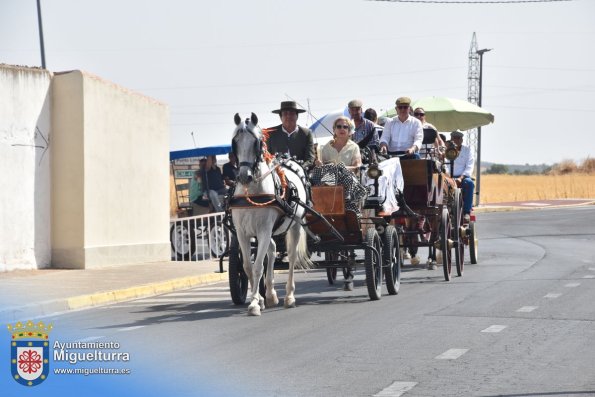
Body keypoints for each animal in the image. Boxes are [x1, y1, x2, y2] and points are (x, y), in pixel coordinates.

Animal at [229, 112, 314, 316]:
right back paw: (270, 294)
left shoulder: (264, 230)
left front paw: (253, 304)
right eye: (235, 142)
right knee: (273, 250)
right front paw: (258, 299)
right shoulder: (243, 232)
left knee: (291, 257)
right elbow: (247, 267)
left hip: (294, 225)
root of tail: (289, 160)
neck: (252, 191)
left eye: (256, 142)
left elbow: (258, 266)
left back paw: (289, 297)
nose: (244, 176)